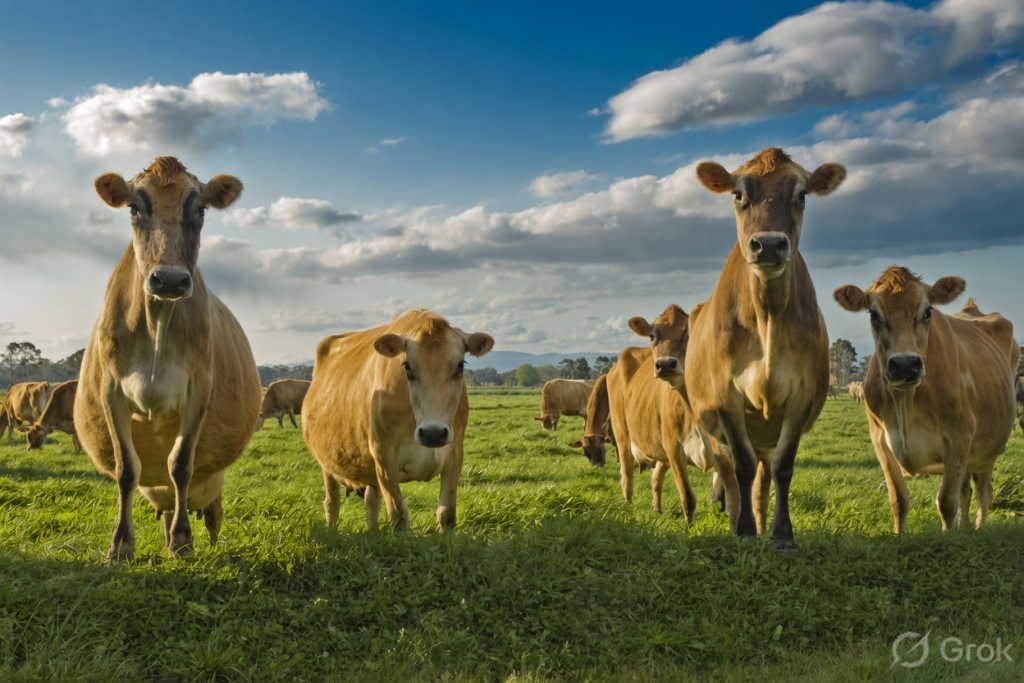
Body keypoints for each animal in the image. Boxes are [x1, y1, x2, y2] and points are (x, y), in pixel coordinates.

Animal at [75, 157, 262, 566]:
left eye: (201, 210)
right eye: (133, 208)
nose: (171, 280)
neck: (157, 325)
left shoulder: (198, 391)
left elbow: (180, 465)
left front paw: (182, 541)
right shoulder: (111, 392)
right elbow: (126, 469)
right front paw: (120, 545)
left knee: (208, 508)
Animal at [303, 309, 494, 531]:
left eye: (460, 365)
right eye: (407, 366)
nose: (433, 433)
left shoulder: (454, 454)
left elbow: (447, 515)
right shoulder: (384, 456)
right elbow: (398, 517)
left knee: (371, 502)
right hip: (326, 464)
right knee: (332, 502)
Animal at [685, 147, 846, 548]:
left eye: (802, 195)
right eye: (738, 194)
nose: (770, 244)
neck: (767, 318)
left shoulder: (802, 396)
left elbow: (783, 469)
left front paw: (781, 534)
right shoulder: (725, 395)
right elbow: (740, 467)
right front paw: (742, 531)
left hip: (765, 433)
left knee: (761, 480)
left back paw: (759, 522)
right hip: (716, 430)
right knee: (731, 474)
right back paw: (738, 521)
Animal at [834, 270, 1018, 533]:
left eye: (928, 311)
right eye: (873, 314)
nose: (904, 364)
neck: (906, 403)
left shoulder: (959, 439)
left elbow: (946, 503)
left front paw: (948, 537)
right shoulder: (880, 442)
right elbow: (898, 499)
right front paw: (900, 536)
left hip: (987, 452)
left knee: (984, 493)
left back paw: (977, 531)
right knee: (967, 492)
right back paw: (965, 528)